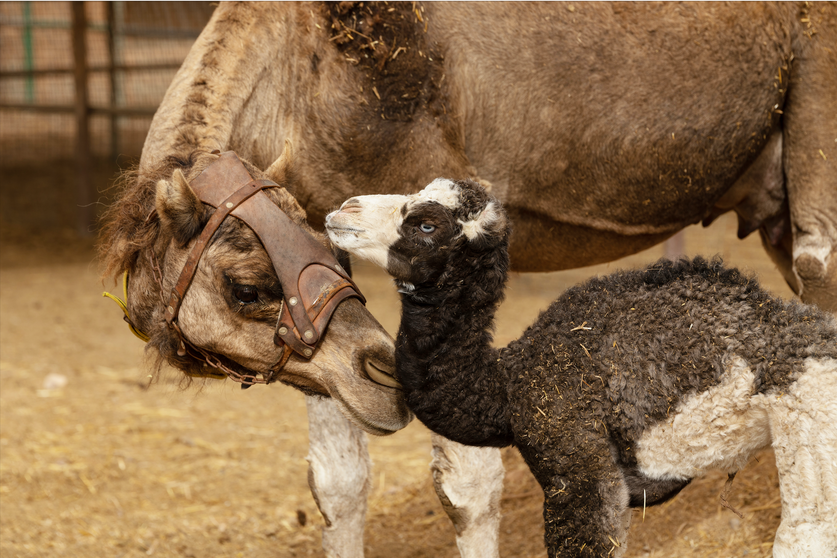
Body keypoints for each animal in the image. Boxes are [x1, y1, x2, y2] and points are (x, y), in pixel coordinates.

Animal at [108, 2, 832, 556]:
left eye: (246, 289)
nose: (384, 374)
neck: (308, 64)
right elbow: (337, 484)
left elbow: (465, 491)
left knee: (815, 264)